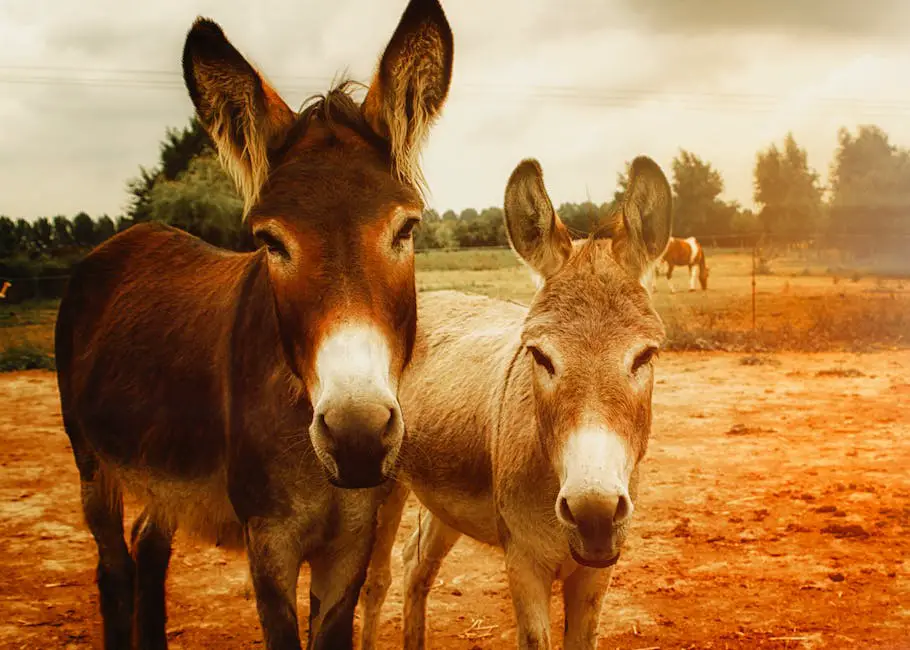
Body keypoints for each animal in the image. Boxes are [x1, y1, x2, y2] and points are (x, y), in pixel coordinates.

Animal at [55, 1, 454, 648]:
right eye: (270, 241)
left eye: (406, 228)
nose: (357, 436)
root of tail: (127, 239)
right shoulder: (269, 541)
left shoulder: (351, 542)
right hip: (92, 464)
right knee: (112, 566)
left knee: (149, 544)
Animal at [360, 157, 672, 648]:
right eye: (540, 356)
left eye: (646, 356)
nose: (594, 514)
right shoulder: (524, 565)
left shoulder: (596, 575)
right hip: (385, 484)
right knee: (377, 581)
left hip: (444, 499)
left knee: (416, 565)